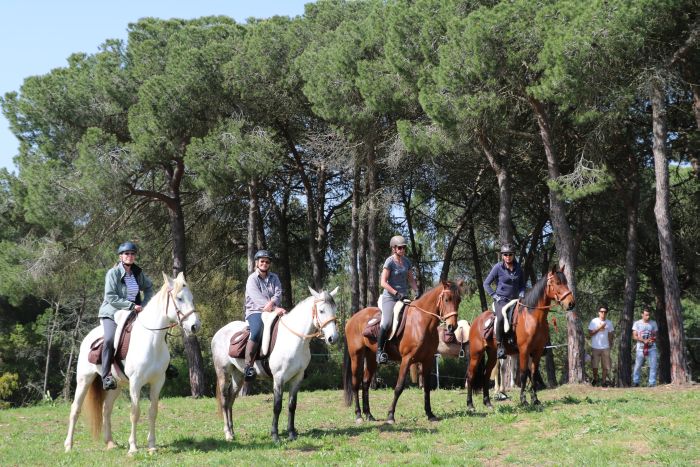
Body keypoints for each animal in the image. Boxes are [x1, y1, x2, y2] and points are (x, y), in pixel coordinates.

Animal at [64, 272, 200, 456]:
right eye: (179, 298)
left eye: (191, 298)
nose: (195, 326)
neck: (151, 341)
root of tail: (88, 337)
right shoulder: (136, 383)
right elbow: (135, 413)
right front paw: (133, 447)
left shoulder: (157, 382)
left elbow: (153, 412)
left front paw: (152, 446)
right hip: (84, 380)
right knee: (75, 409)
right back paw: (68, 445)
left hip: (116, 385)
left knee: (106, 410)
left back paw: (110, 443)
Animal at [211, 288, 340, 444]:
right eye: (321, 310)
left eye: (335, 309)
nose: (333, 338)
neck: (294, 339)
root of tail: (218, 333)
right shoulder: (279, 378)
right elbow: (277, 406)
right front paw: (275, 436)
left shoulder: (297, 378)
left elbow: (292, 405)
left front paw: (292, 433)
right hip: (223, 372)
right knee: (225, 400)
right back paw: (228, 434)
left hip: (239, 376)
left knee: (231, 399)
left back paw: (232, 431)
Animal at [346, 282, 464, 424]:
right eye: (447, 299)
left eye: (459, 300)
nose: (452, 327)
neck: (422, 322)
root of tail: (352, 318)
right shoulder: (407, 359)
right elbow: (399, 387)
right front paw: (390, 416)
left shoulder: (428, 360)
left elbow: (427, 388)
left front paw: (430, 414)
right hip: (356, 356)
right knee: (355, 383)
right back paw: (358, 415)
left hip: (370, 357)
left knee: (365, 383)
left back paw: (369, 415)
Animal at [464, 266, 576, 410]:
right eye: (557, 283)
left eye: (566, 282)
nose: (571, 303)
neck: (532, 317)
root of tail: (476, 321)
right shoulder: (524, 351)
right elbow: (523, 374)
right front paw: (523, 400)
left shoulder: (537, 351)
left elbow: (532, 374)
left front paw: (535, 399)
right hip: (476, 354)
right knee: (470, 376)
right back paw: (470, 405)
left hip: (493, 354)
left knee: (486, 375)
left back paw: (488, 402)